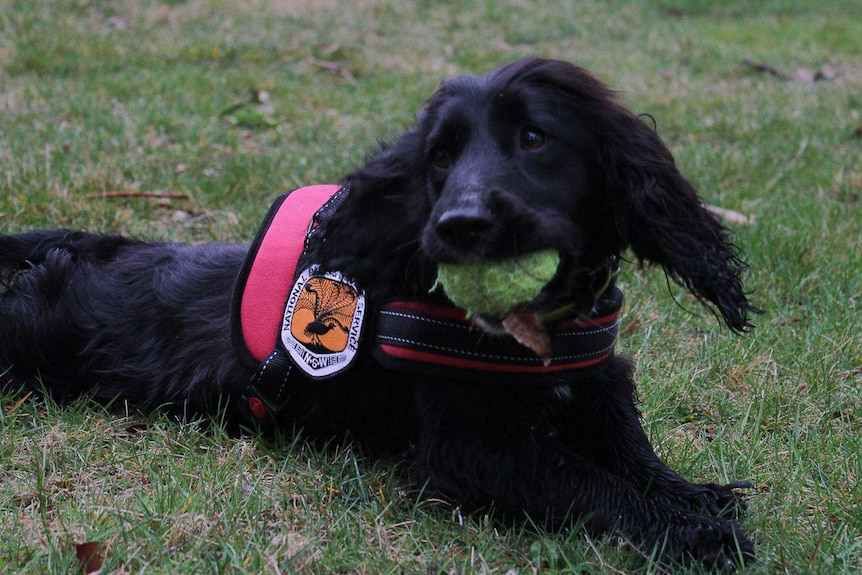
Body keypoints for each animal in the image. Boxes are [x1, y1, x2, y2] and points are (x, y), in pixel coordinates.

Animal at [0, 56, 756, 568]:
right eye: (440, 156)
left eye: (535, 138)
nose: (458, 226)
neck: (541, 331)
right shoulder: (471, 448)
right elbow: (591, 479)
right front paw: (691, 531)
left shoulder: (599, 380)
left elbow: (632, 451)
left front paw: (696, 495)